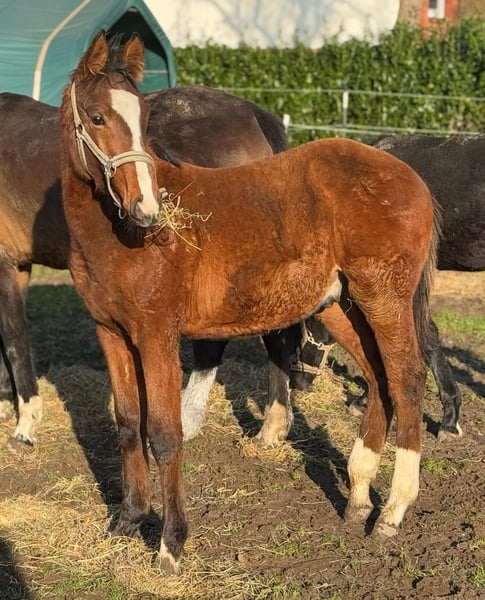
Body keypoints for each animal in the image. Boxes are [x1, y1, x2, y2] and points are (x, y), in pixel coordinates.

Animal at [58, 31, 438, 571]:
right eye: (96, 117)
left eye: (145, 120)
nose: (146, 209)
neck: (118, 236)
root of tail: (410, 177)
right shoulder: (111, 333)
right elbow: (129, 424)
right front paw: (127, 520)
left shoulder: (156, 334)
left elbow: (165, 433)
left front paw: (170, 544)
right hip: (341, 308)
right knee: (377, 377)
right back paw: (360, 496)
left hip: (384, 298)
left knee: (407, 379)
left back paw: (392, 513)